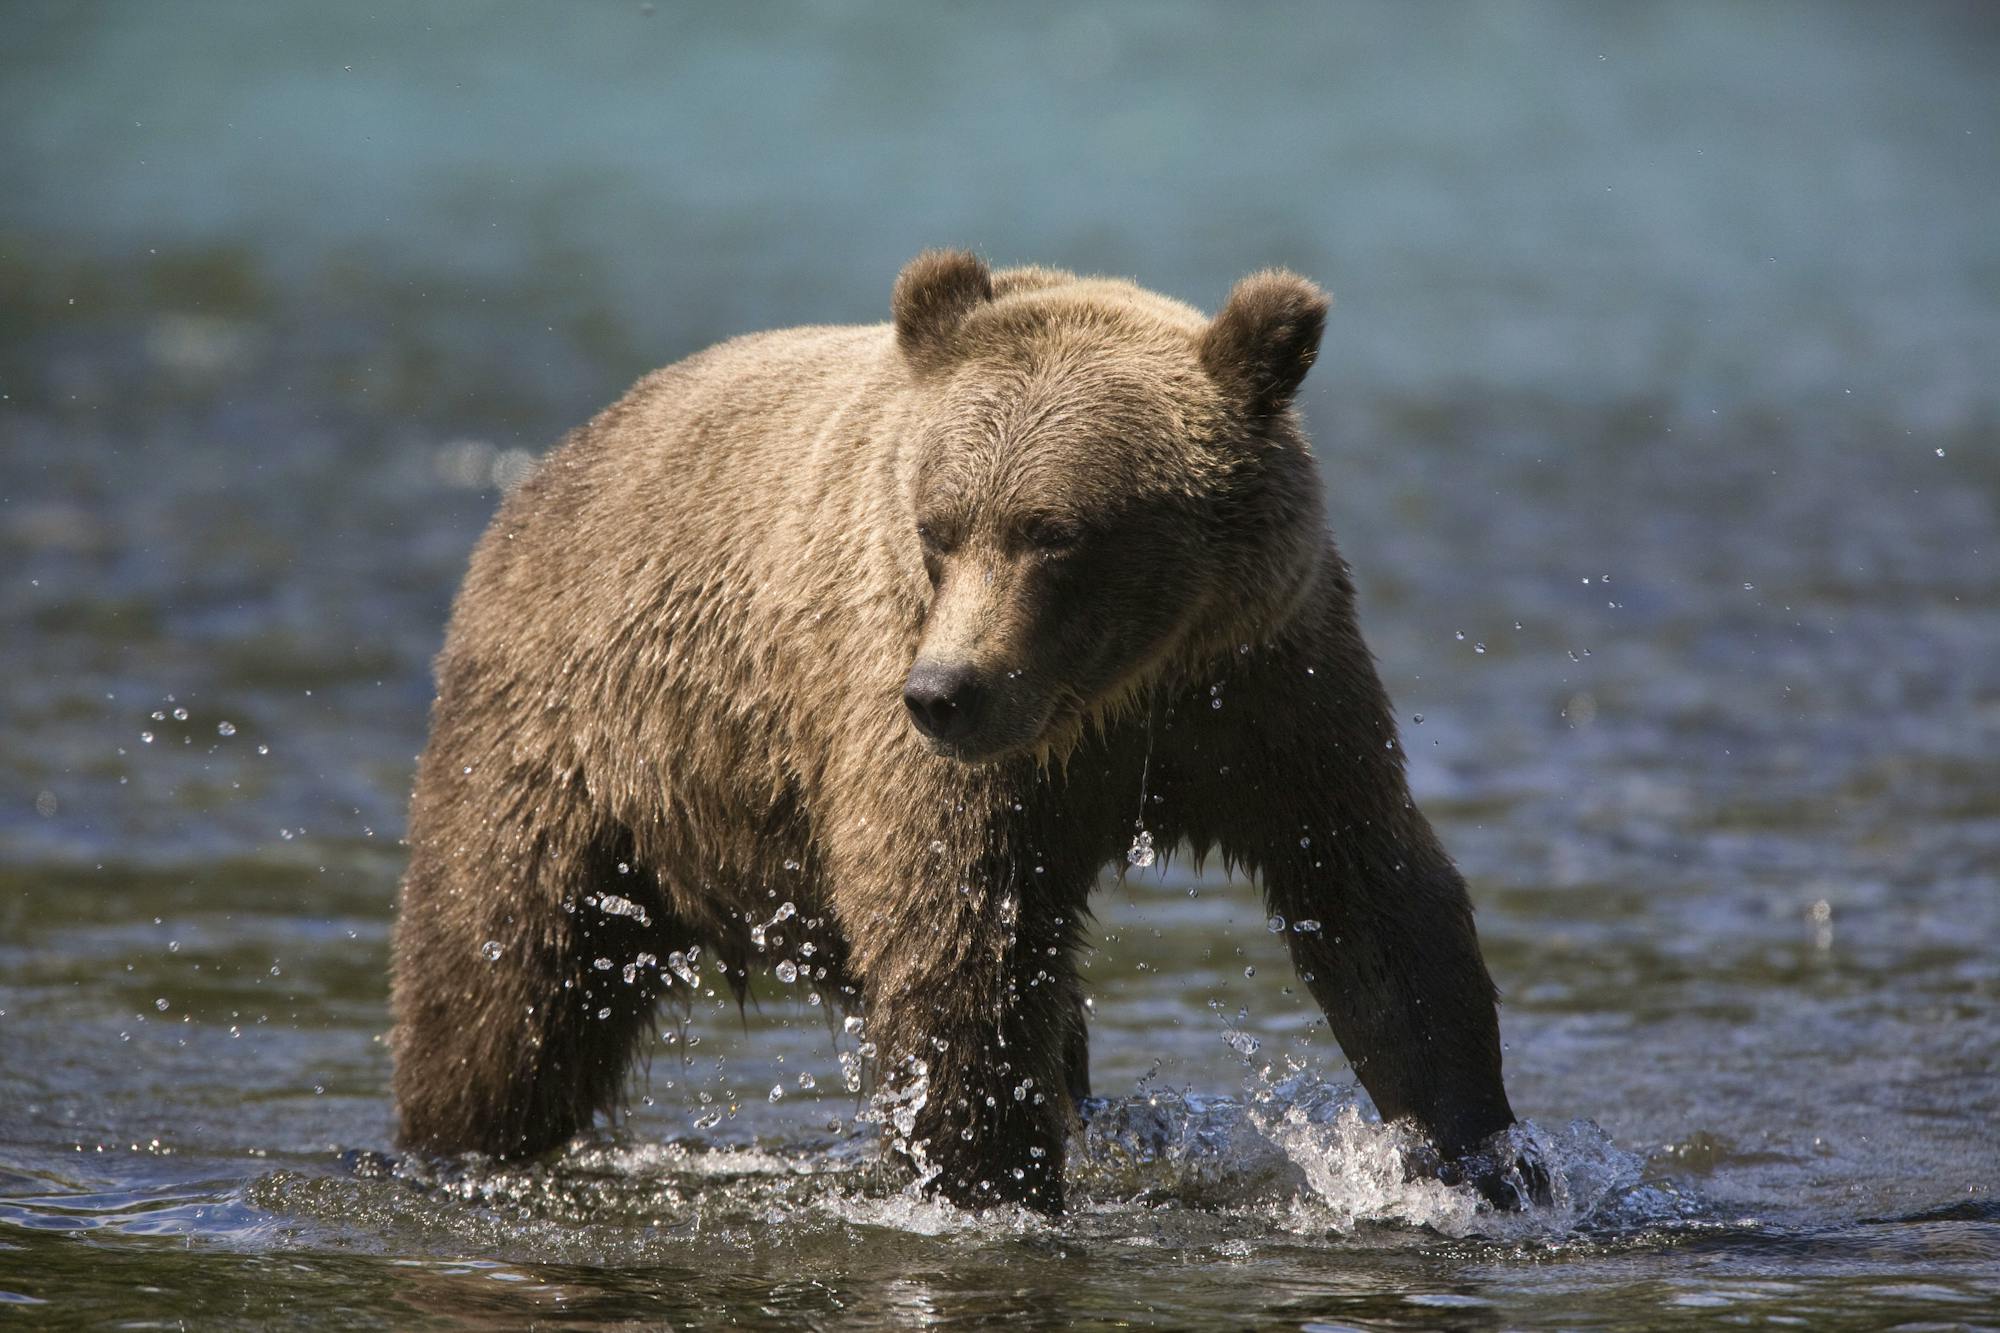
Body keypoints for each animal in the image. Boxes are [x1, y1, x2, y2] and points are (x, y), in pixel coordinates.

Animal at [386, 252, 1528, 1216]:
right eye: (939, 525)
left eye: (1054, 532)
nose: (944, 692)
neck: (1114, 692)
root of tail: (541, 476)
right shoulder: (928, 732)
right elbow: (960, 946)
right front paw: (990, 1184)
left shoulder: (1267, 693)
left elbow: (1374, 905)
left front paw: (1479, 1162)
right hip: (571, 746)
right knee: (501, 990)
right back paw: (459, 1134)